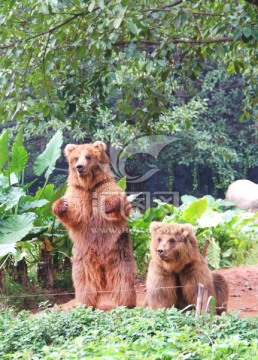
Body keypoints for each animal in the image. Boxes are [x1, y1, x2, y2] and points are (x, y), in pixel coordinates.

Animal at [52, 140, 137, 306]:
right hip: (84, 256)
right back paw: (85, 304)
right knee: (85, 281)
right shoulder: (79, 193)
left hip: (119, 251)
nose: (80, 167)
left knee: (123, 278)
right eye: (76, 157)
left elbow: (121, 204)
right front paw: (61, 205)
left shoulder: (103, 187)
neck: (89, 184)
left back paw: (126, 303)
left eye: (88, 156)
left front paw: (108, 205)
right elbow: (74, 212)